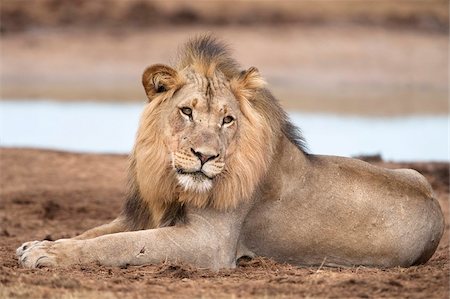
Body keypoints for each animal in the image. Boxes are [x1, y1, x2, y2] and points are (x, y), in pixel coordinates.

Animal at [16, 35, 442, 270]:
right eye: (186, 111)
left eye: (227, 120)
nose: (204, 156)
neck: (173, 182)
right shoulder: (142, 217)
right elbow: (94, 234)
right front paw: (36, 245)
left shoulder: (209, 243)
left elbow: (116, 245)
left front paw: (46, 255)